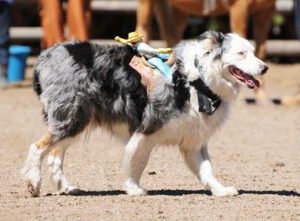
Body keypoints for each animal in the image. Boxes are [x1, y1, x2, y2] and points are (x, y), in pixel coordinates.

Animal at [22, 31, 268, 197]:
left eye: (252, 52)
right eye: (241, 53)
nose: (265, 67)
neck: (197, 81)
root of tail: (45, 56)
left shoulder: (194, 141)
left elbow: (207, 171)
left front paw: (221, 190)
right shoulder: (147, 131)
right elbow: (137, 162)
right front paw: (133, 188)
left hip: (77, 120)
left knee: (54, 154)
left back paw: (65, 187)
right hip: (71, 118)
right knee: (38, 147)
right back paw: (34, 183)